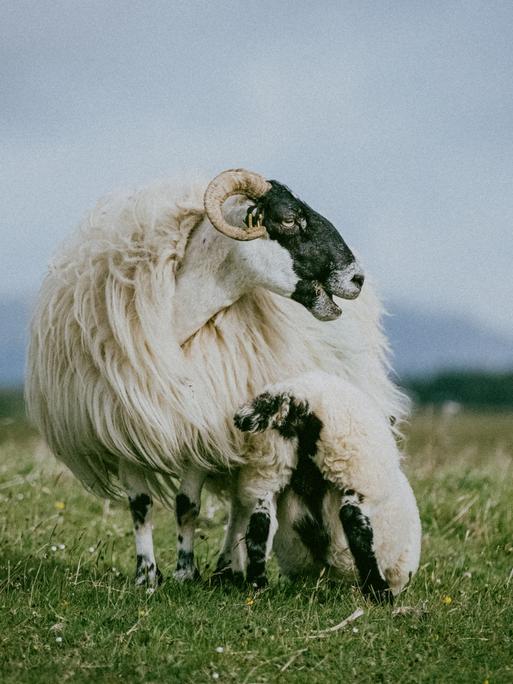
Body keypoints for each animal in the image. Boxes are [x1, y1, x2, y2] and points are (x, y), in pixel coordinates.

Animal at [27, 168, 408, 584]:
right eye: (289, 218)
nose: (357, 278)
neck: (174, 318)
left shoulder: (202, 428)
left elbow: (187, 505)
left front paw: (185, 572)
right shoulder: (124, 429)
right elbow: (140, 506)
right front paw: (146, 576)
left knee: (242, 506)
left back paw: (228, 567)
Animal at [234, 372, 418, 600]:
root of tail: (295, 399)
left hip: (267, 468)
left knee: (259, 524)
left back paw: (257, 587)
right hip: (354, 466)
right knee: (353, 519)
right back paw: (377, 591)